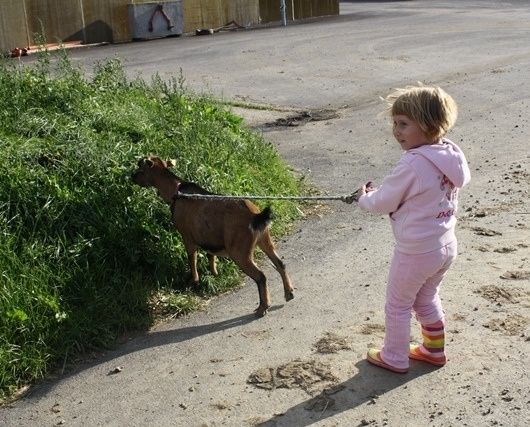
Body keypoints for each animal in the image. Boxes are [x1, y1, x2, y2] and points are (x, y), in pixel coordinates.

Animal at [129, 157, 292, 318]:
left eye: (141, 167)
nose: (132, 176)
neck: (176, 191)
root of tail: (256, 216)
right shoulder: (209, 237)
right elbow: (210, 255)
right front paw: (215, 274)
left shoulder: (187, 236)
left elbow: (192, 258)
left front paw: (195, 281)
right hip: (265, 239)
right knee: (280, 263)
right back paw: (289, 293)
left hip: (239, 250)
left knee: (261, 276)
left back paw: (262, 307)